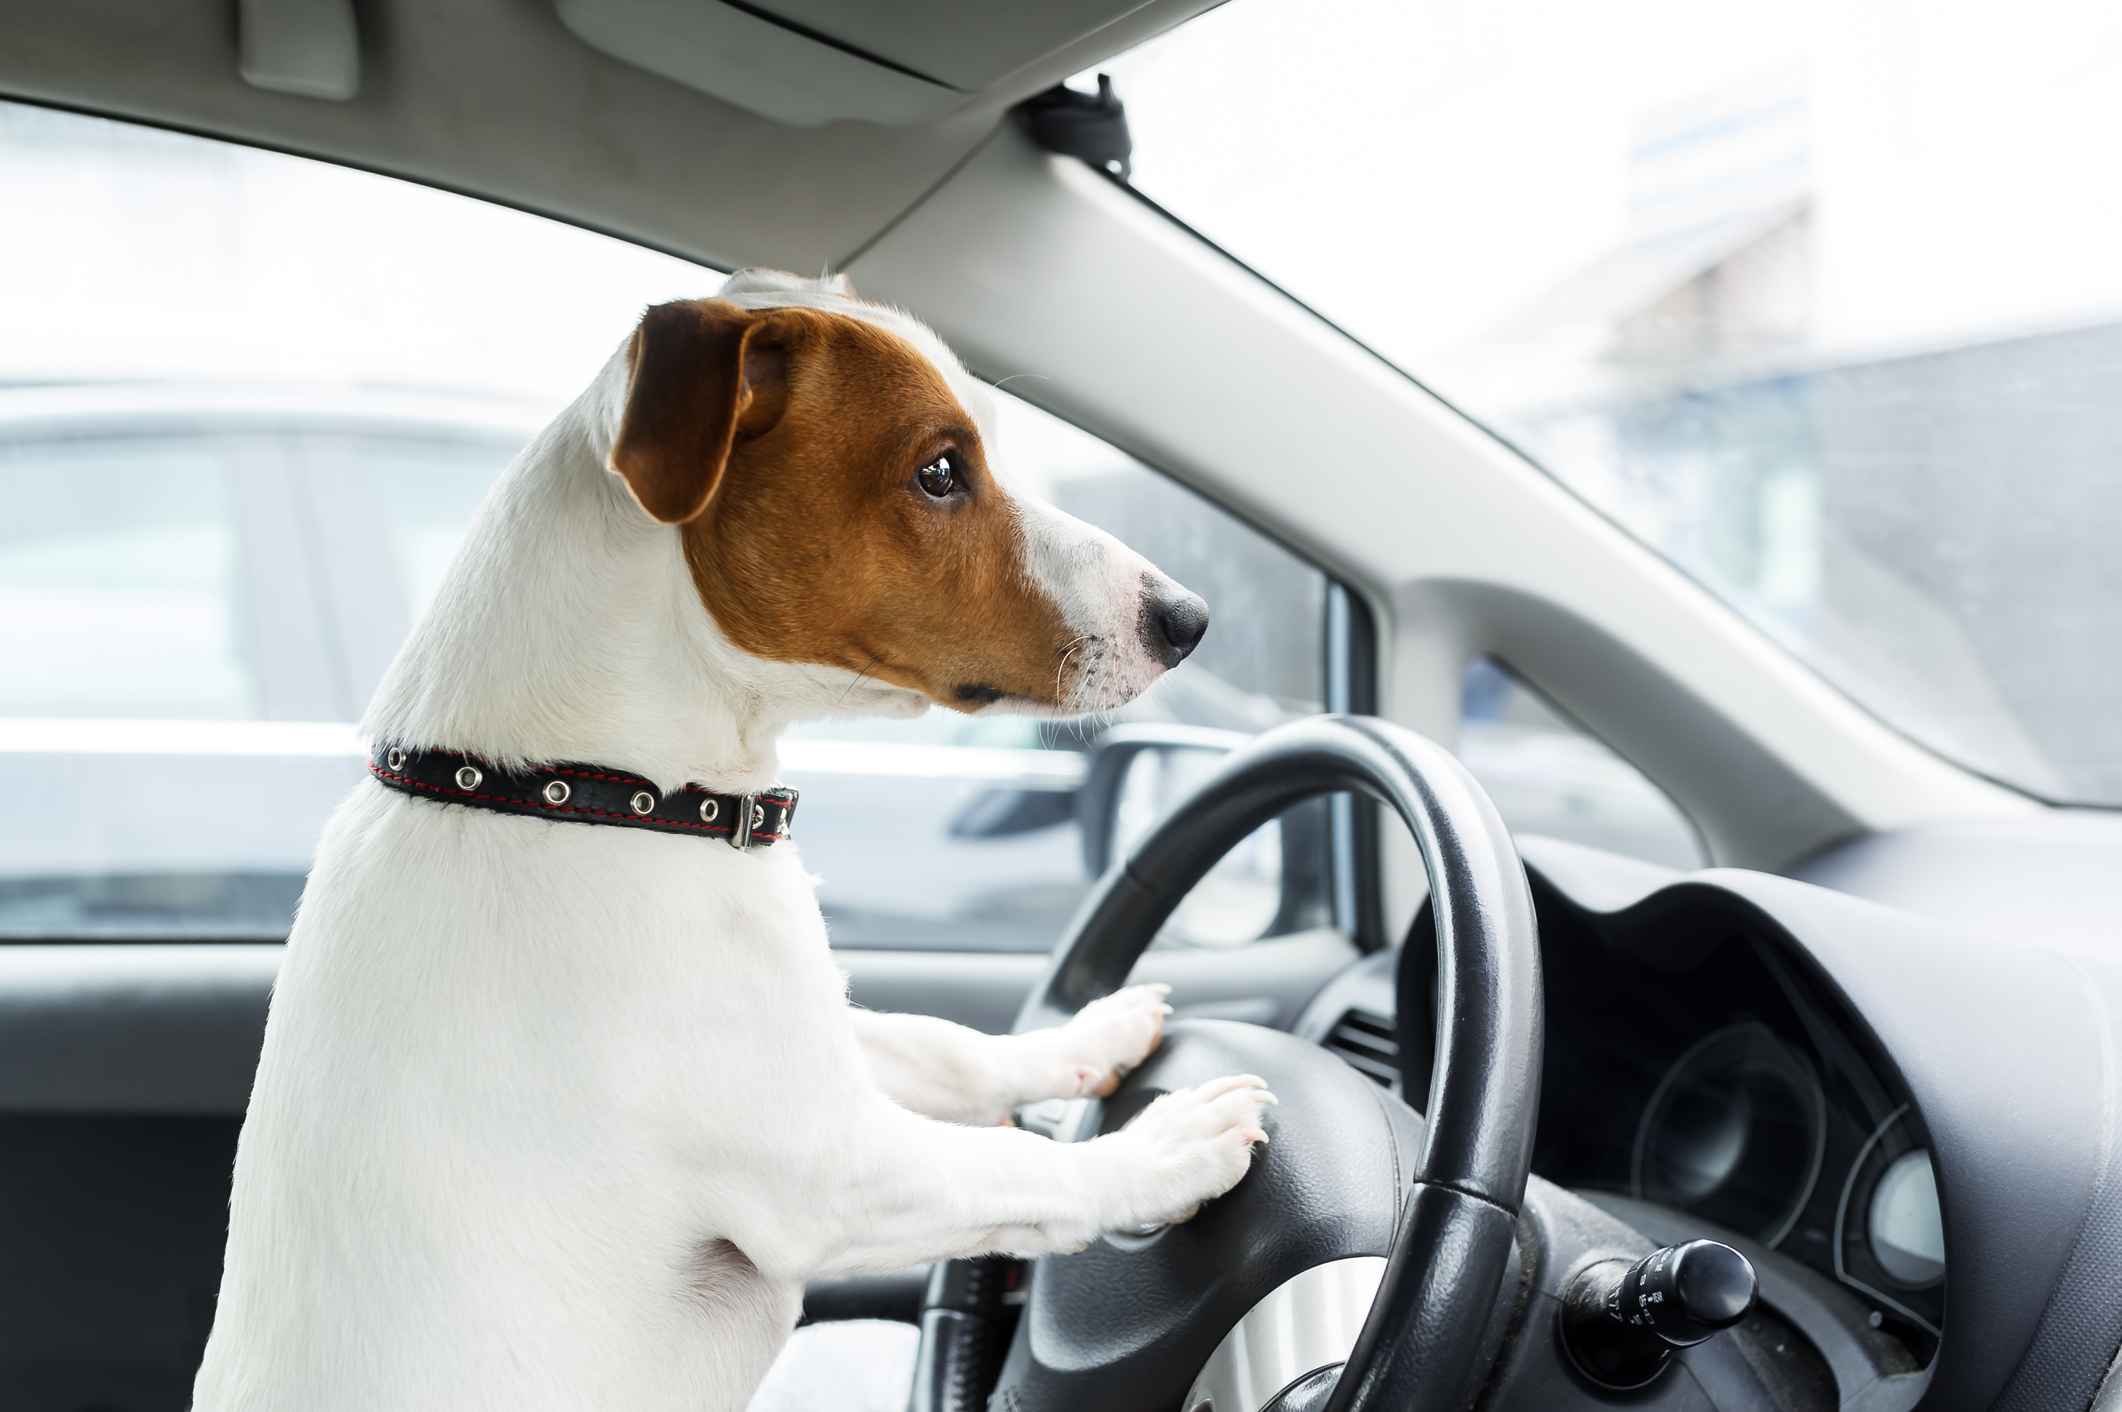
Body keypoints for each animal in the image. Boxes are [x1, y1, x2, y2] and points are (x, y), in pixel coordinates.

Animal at [190, 269, 1264, 1401]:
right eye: (939, 471)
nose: (1188, 618)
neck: (586, 793)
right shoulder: (836, 1166)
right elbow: (1027, 1167)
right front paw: (1168, 1147)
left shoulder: (807, 1041)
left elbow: (950, 1044)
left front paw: (1088, 1034)